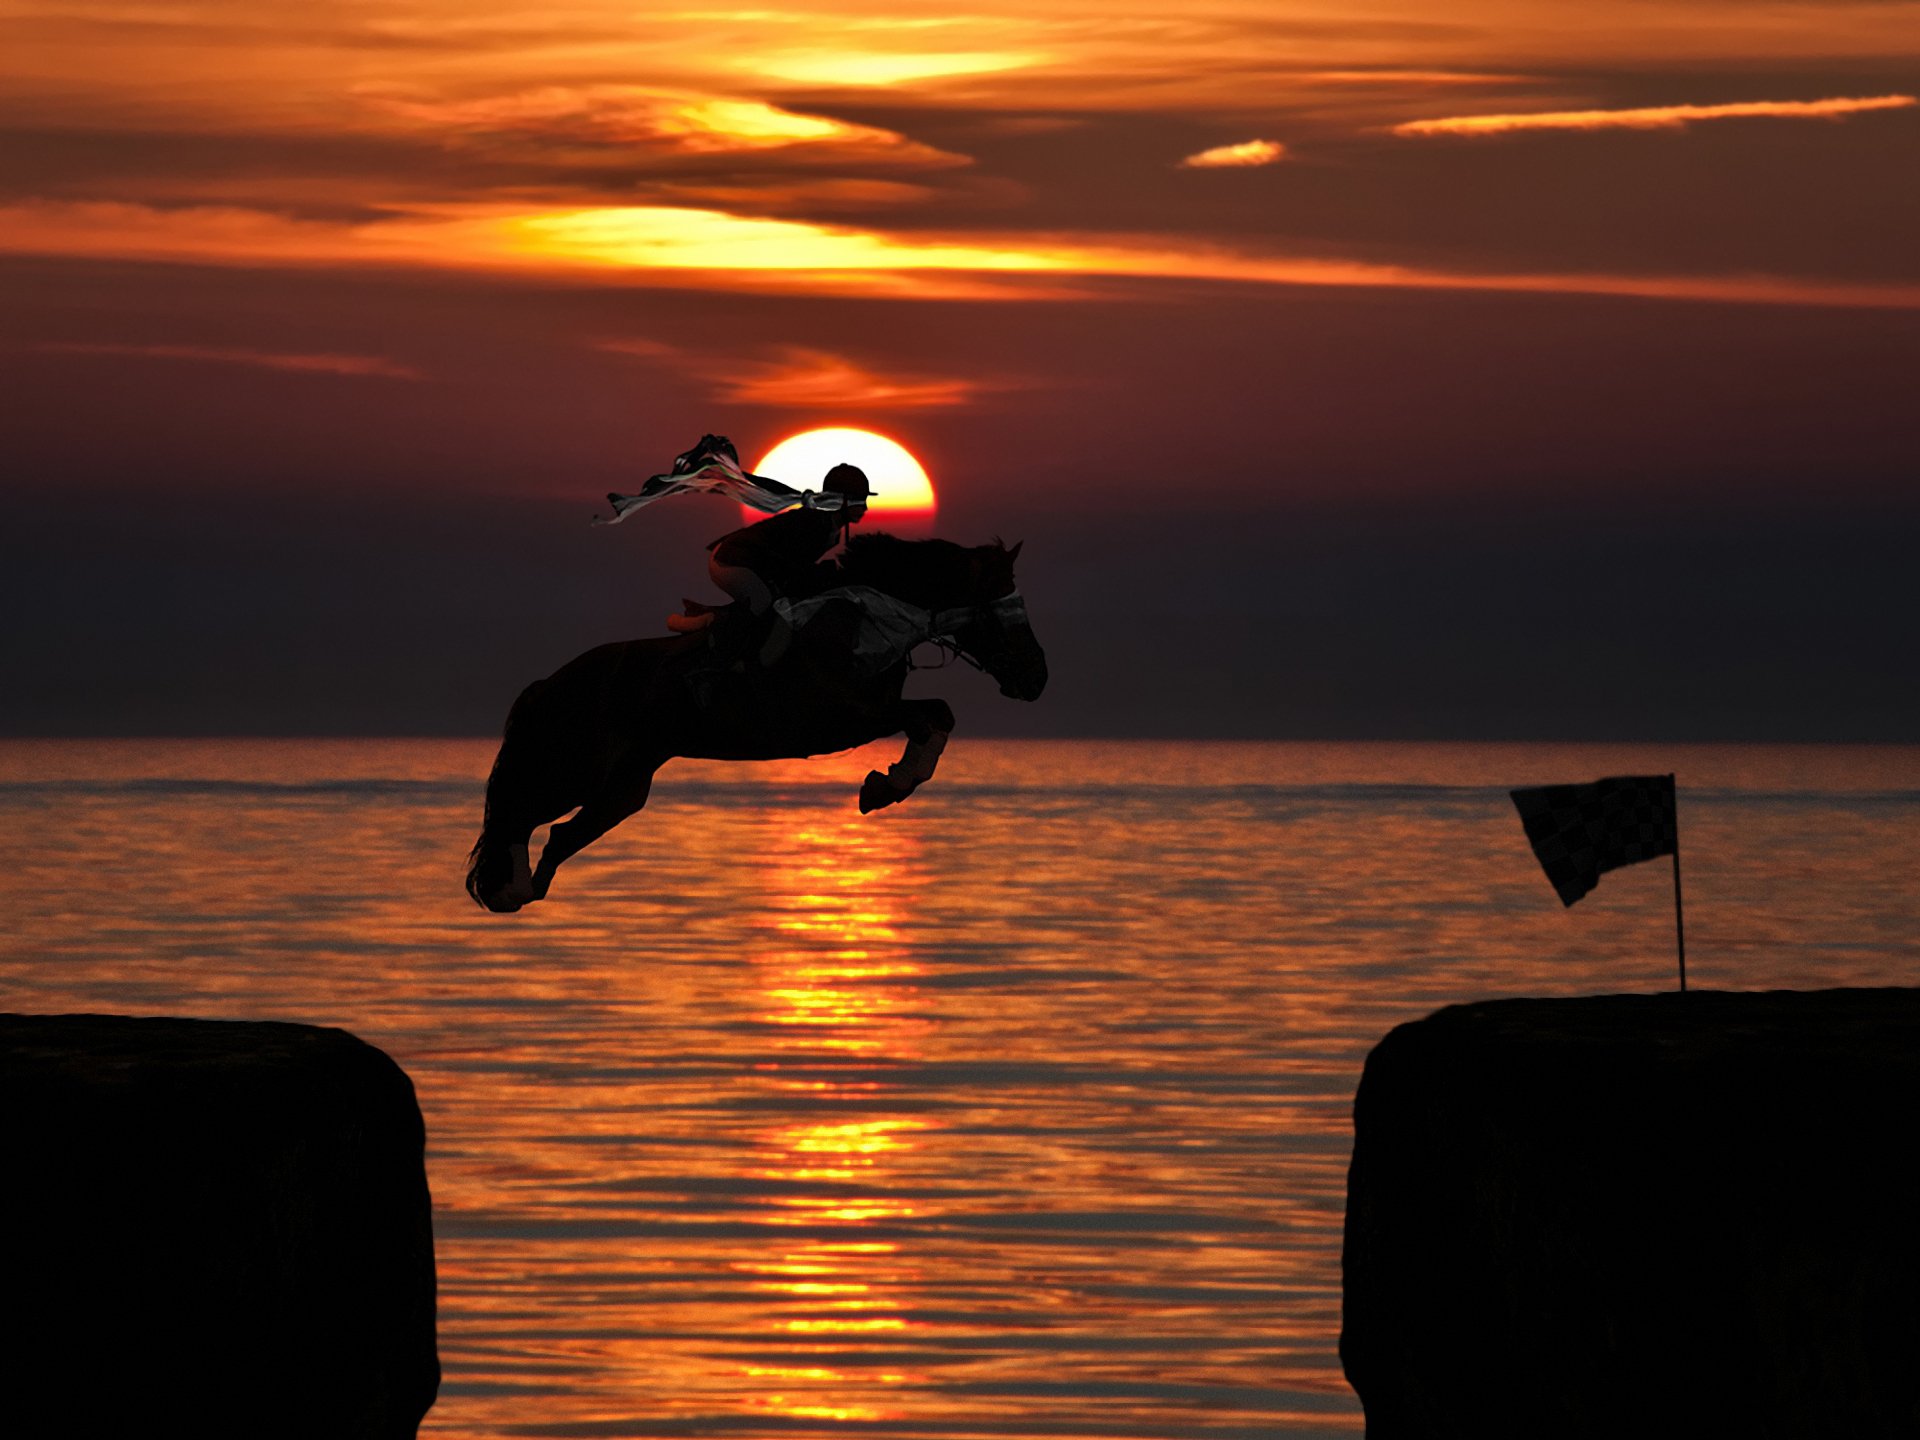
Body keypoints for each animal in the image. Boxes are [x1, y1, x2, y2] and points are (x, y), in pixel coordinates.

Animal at [466, 533, 1047, 912]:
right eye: (1001, 611)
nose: (1037, 678)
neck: (869, 619)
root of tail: (550, 683)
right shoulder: (840, 719)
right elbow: (930, 714)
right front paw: (885, 787)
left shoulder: (869, 712)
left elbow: (937, 715)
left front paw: (886, 786)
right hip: (573, 770)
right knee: (520, 815)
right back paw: (504, 890)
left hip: (625, 787)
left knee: (559, 835)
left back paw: (515, 891)